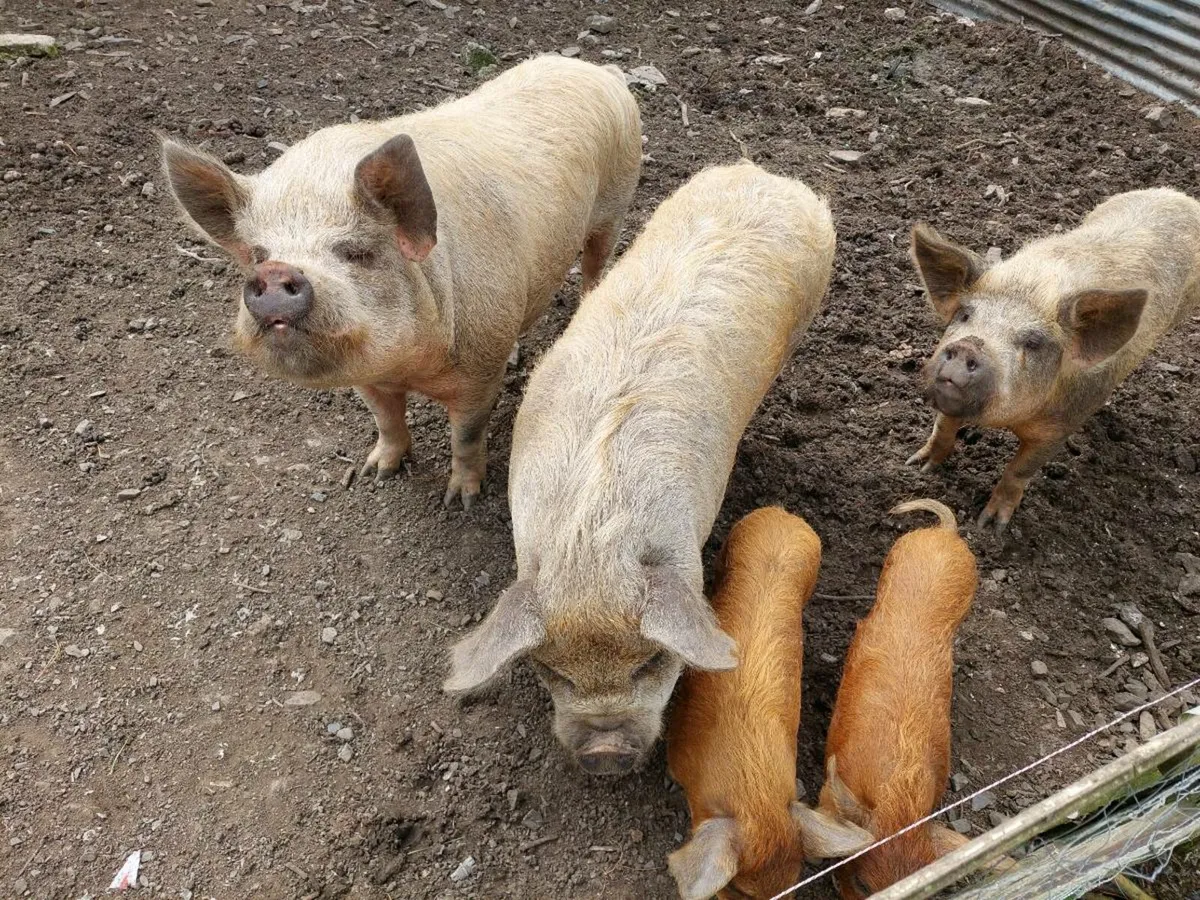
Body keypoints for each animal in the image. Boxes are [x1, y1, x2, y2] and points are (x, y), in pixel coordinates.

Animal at [160, 55, 642, 508]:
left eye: (356, 251)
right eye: (259, 254)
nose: (275, 272)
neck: (410, 368)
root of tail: (599, 70)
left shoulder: (479, 375)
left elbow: (466, 436)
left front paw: (461, 501)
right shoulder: (368, 377)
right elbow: (385, 419)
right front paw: (377, 472)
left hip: (616, 204)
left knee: (597, 263)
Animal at [906, 188, 1200, 532]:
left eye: (1033, 343)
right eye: (965, 315)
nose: (969, 346)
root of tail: (1179, 197)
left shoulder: (1060, 429)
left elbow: (1019, 470)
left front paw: (991, 526)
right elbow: (943, 427)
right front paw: (917, 466)